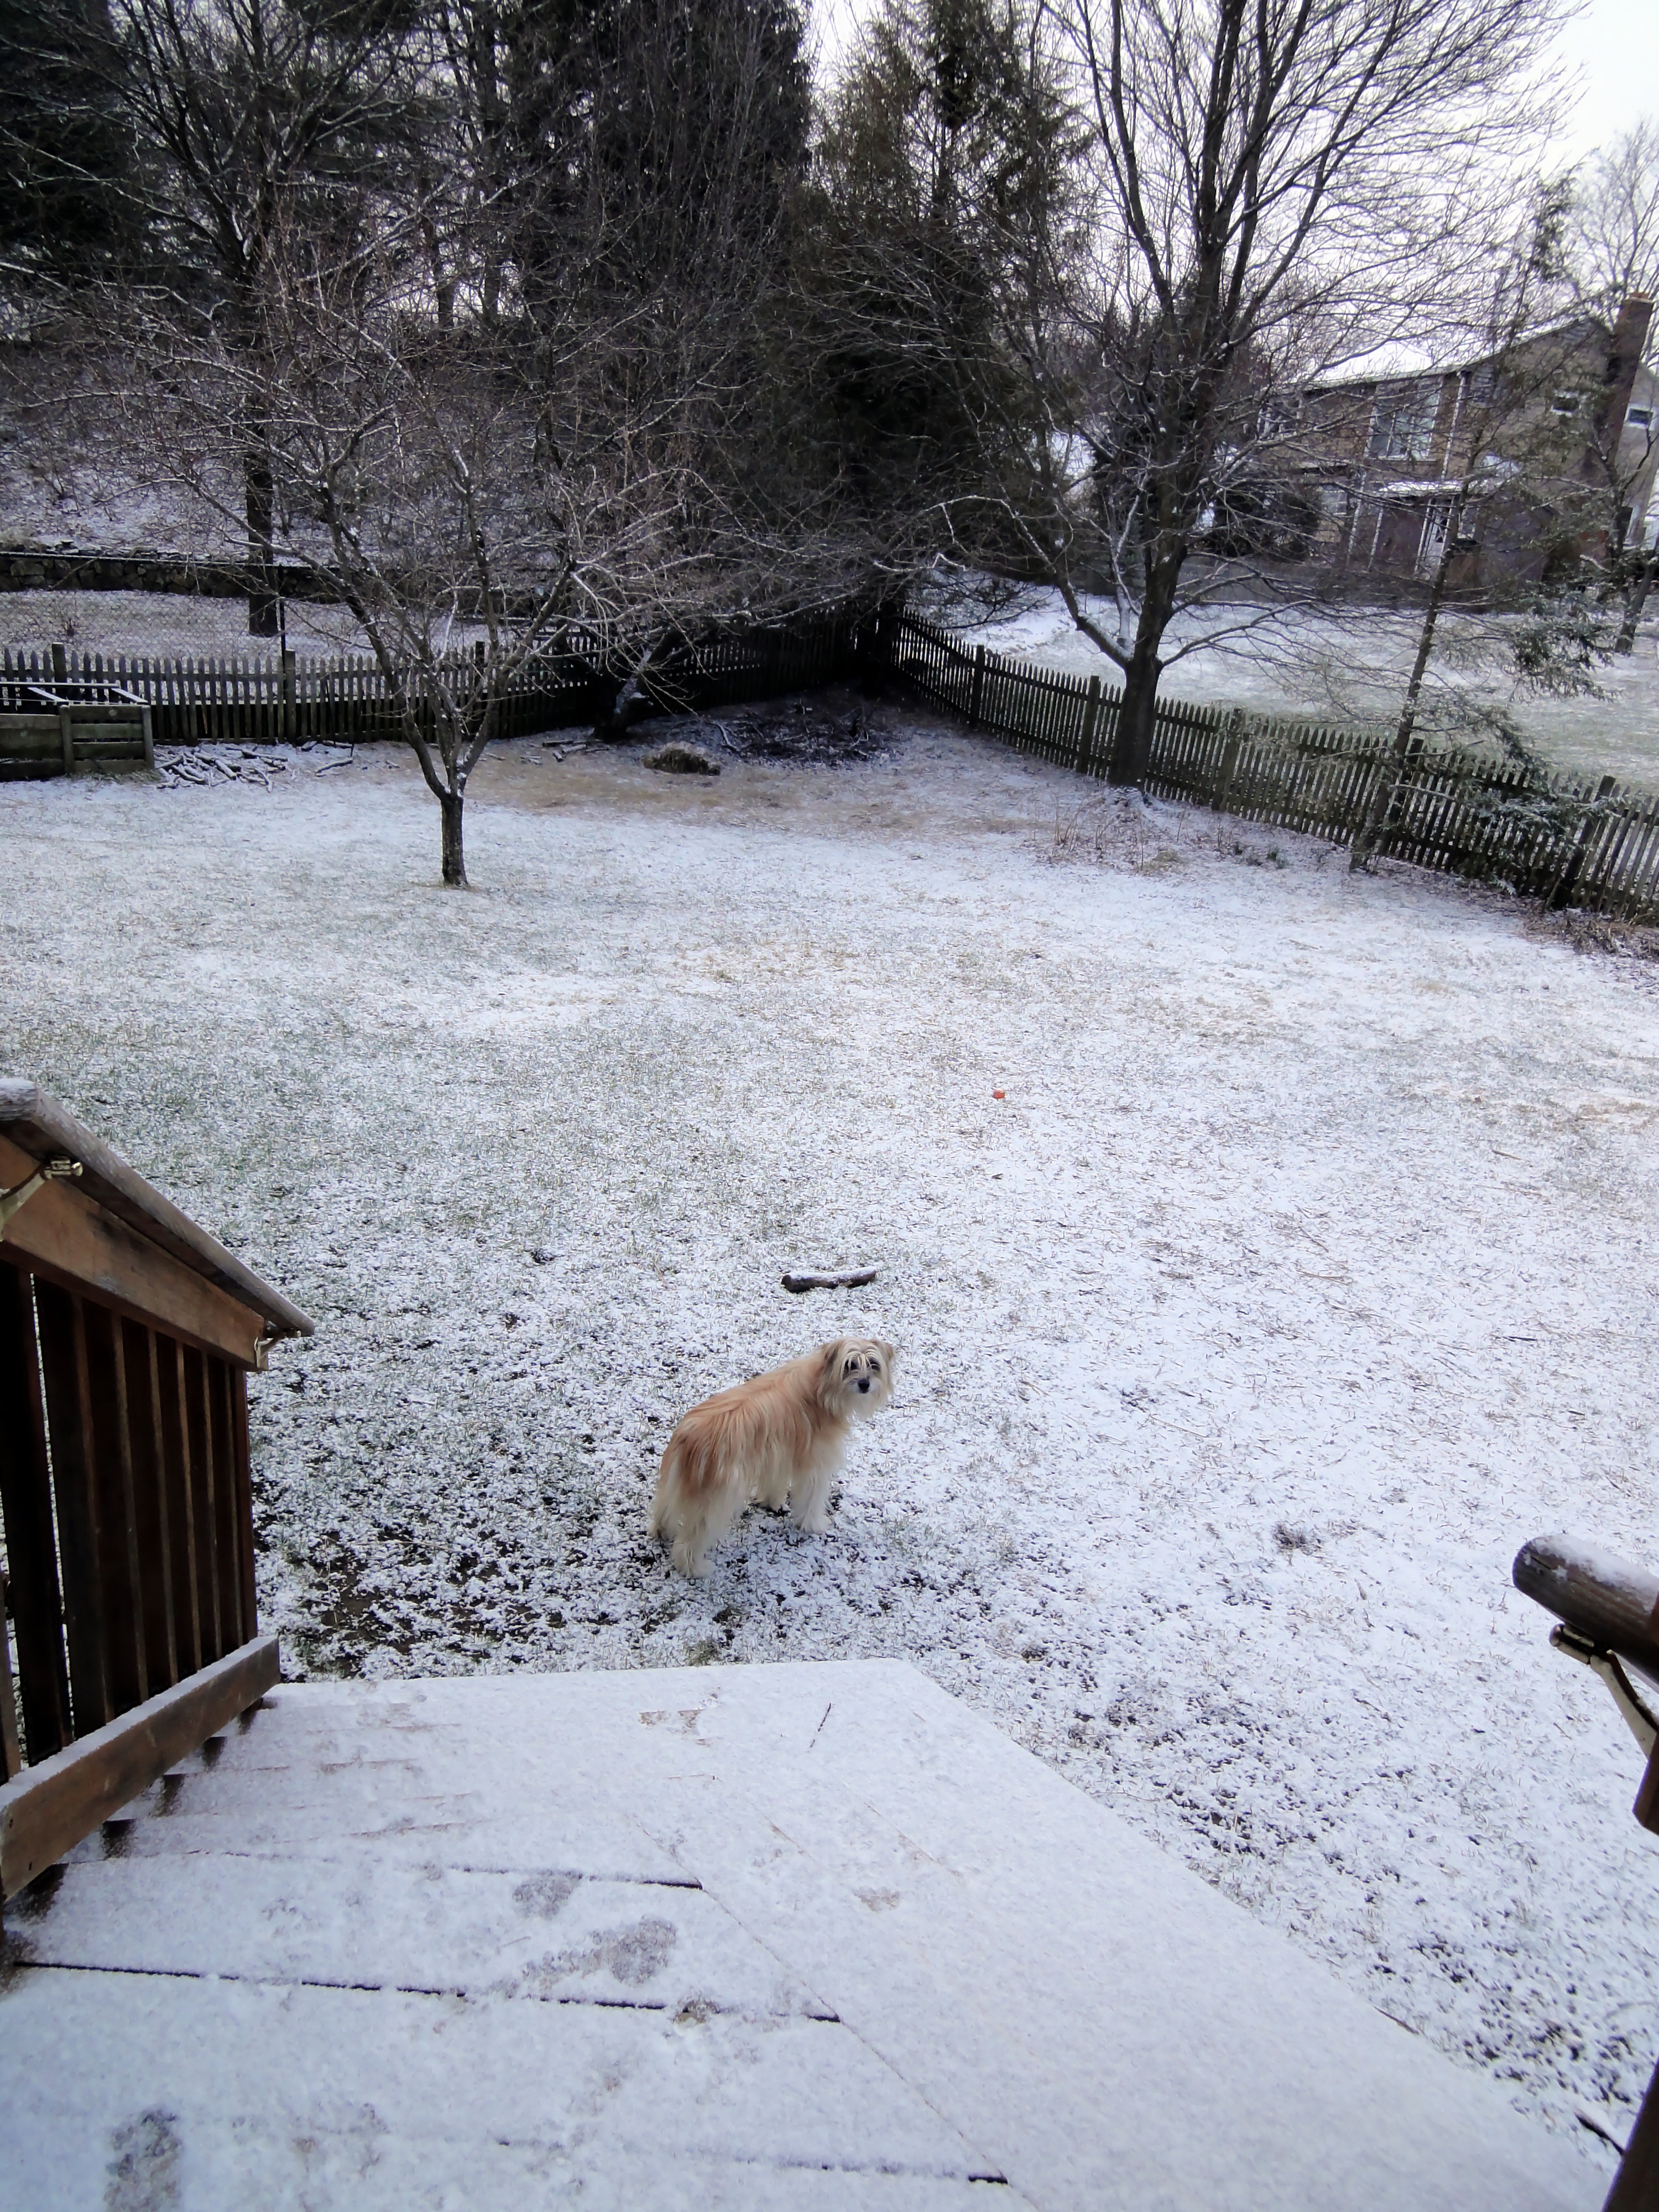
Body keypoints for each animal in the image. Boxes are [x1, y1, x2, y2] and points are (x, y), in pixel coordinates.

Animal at [648, 1339, 896, 1577]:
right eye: (850, 1365)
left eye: (874, 1364)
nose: (865, 1384)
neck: (820, 1388)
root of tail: (688, 1435)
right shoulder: (815, 1465)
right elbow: (811, 1499)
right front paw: (813, 1525)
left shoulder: (776, 1454)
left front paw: (771, 1502)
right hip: (715, 1502)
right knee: (690, 1542)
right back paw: (695, 1569)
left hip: (676, 1483)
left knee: (664, 1510)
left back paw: (663, 1532)